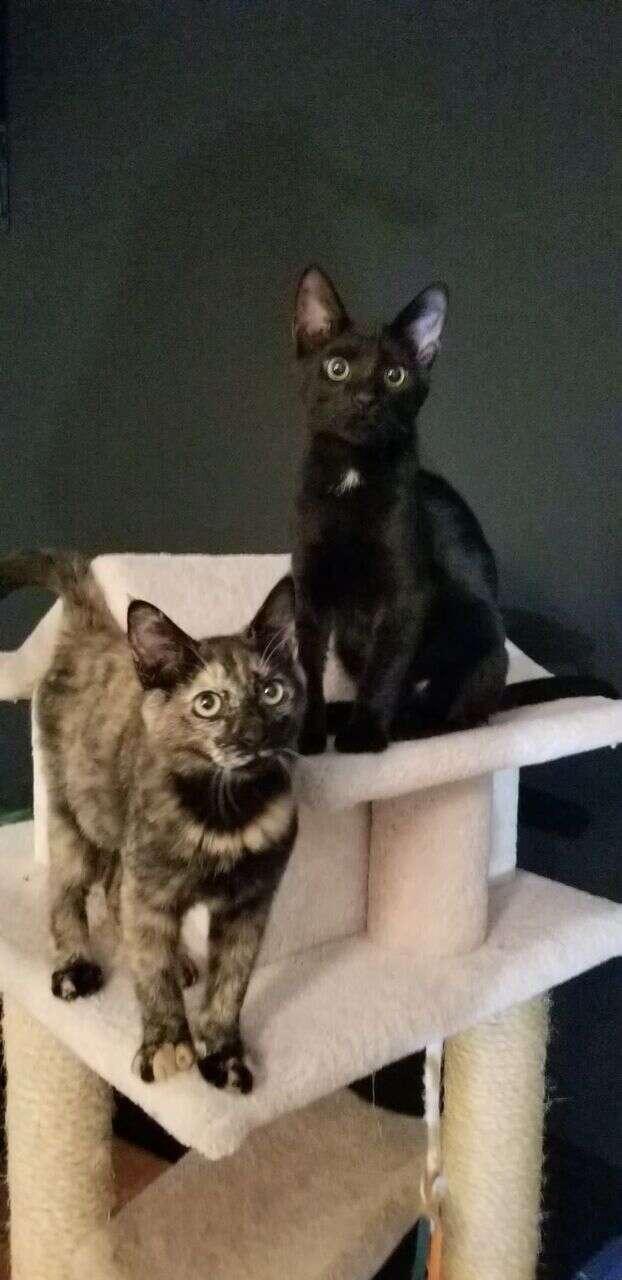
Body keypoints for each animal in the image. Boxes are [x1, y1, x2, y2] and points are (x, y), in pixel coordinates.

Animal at [0, 550, 303, 1090]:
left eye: (272, 692)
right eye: (208, 703)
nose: (253, 735)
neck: (223, 814)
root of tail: (92, 630)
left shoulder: (250, 905)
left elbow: (231, 984)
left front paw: (222, 1053)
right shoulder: (151, 891)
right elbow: (151, 974)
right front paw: (165, 1044)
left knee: (114, 889)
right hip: (75, 816)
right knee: (66, 892)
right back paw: (76, 965)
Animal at [293, 264, 616, 752]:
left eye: (394, 375)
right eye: (336, 368)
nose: (365, 398)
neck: (352, 476)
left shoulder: (406, 595)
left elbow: (384, 669)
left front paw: (364, 737)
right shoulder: (310, 590)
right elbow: (309, 667)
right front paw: (309, 738)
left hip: (481, 633)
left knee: (463, 715)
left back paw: (407, 727)